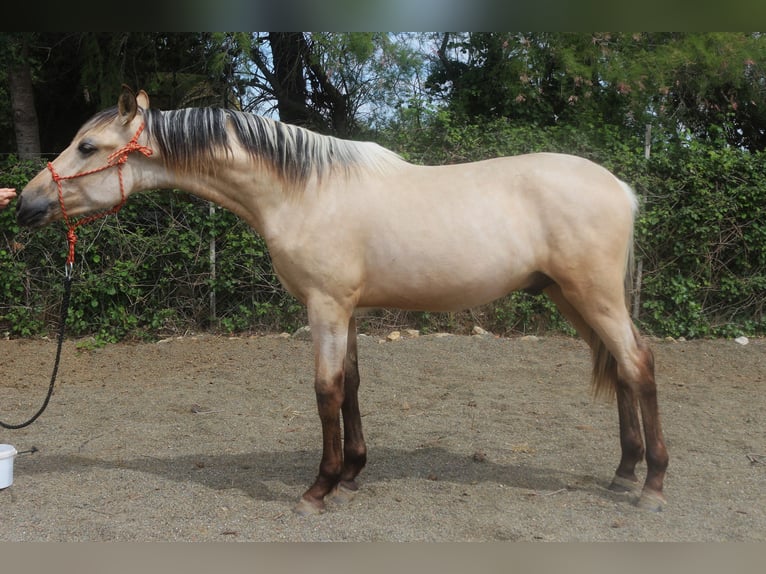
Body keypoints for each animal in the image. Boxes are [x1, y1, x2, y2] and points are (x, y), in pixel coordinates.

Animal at [15, 85, 668, 516]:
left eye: (87, 147)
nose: (25, 204)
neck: (303, 190)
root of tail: (622, 186)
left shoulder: (325, 306)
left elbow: (326, 391)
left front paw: (318, 488)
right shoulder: (346, 311)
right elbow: (352, 385)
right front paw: (352, 473)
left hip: (593, 296)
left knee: (638, 364)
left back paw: (652, 484)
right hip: (571, 300)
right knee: (623, 370)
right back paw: (623, 472)